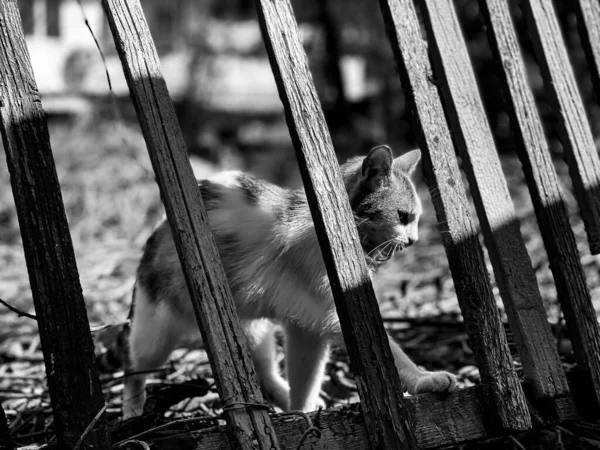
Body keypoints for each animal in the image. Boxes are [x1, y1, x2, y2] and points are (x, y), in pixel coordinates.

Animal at [113, 145, 454, 418]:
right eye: (403, 216)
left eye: (415, 219)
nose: (413, 240)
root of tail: (159, 227)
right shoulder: (333, 315)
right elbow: (393, 354)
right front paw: (425, 378)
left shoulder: (308, 328)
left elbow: (306, 378)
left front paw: (302, 413)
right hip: (156, 332)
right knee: (132, 366)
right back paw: (131, 411)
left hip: (252, 334)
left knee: (263, 372)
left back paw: (282, 402)